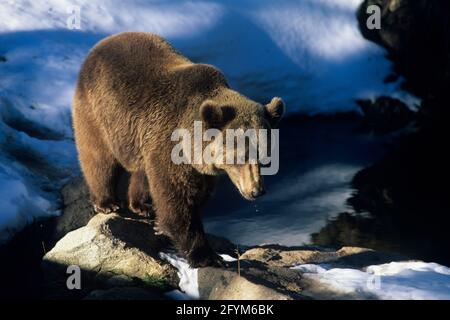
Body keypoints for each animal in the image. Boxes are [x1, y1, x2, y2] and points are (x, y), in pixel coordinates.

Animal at [73, 32, 284, 268]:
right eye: (240, 156)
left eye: (265, 156)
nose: (256, 191)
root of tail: (104, 42)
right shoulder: (172, 146)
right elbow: (177, 199)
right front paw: (207, 255)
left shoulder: (196, 165)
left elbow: (196, 194)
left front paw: (160, 223)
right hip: (99, 112)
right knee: (99, 159)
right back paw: (107, 203)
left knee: (143, 170)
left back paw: (141, 205)